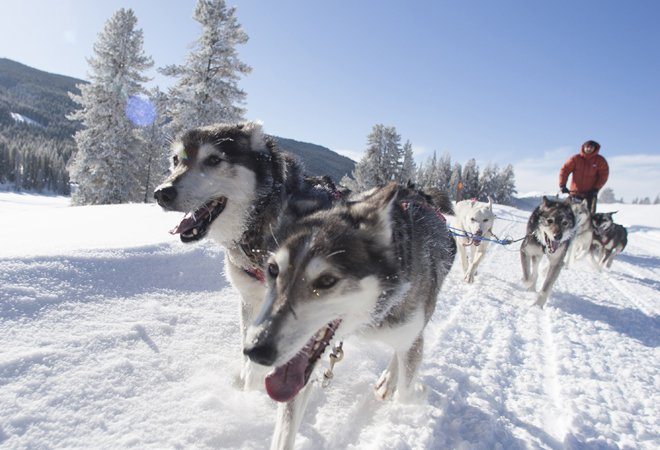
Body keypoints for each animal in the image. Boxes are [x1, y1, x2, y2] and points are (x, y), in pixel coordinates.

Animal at [242, 183, 454, 450]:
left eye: (326, 281)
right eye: (272, 269)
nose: (255, 351)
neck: (368, 318)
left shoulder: (410, 330)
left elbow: (406, 392)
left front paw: (418, 391)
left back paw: (389, 380)